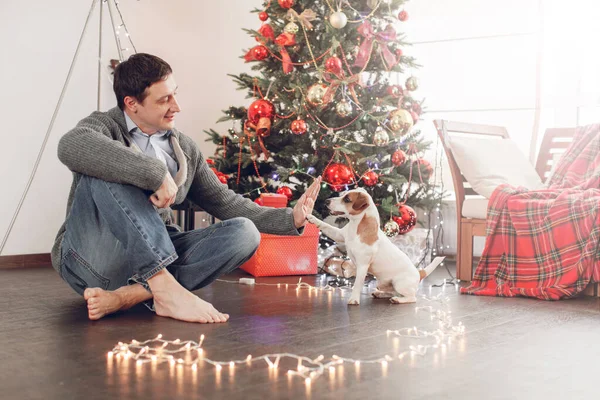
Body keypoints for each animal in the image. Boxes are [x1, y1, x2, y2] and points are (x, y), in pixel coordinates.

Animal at [308, 189, 442, 304]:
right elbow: (326, 226)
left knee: (411, 297)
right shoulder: (339, 235)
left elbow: (357, 284)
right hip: (384, 284)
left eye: (347, 199)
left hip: (400, 284)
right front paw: (312, 218)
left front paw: (354, 299)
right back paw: (381, 294)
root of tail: (419, 273)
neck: (356, 226)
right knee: (394, 293)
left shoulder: (362, 266)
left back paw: (398, 300)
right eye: (342, 194)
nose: (326, 201)